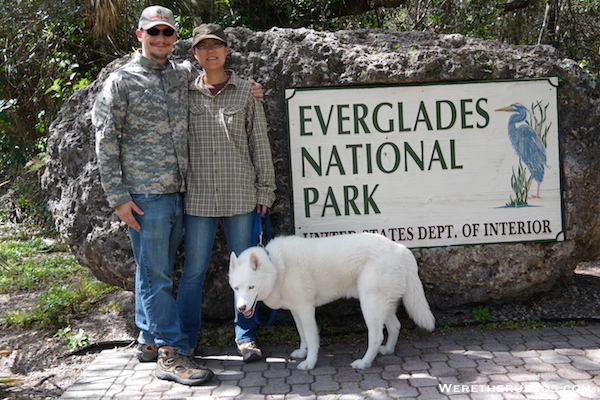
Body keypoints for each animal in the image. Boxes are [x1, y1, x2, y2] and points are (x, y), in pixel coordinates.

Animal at [227, 233, 434, 370]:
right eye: (236, 289)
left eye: (251, 287)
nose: (241, 307)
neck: (278, 267)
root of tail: (400, 249)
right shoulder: (296, 311)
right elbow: (302, 335)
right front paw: (302, 353)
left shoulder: (306, 310)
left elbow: (311, 338)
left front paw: (309, 363)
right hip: (382, 305)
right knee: (395, 326)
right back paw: (388, 350)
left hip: (370, 305)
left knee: (376, 337)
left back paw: (364, 363)